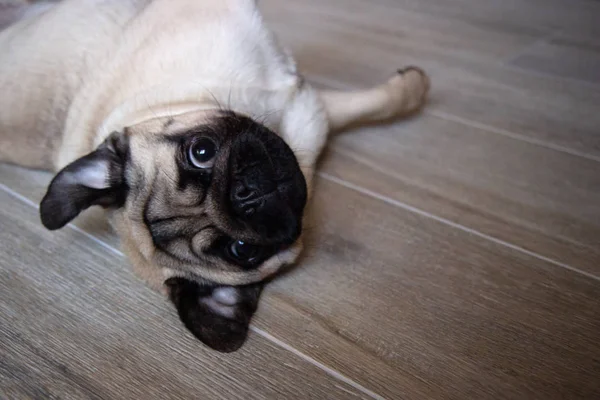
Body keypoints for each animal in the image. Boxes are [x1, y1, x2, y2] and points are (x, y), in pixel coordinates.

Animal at [1, 0, 432, 350]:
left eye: (201, 151)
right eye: (241, 250)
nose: (246, 194)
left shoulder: (310, 112)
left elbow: (380, 102)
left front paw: (412, 85)